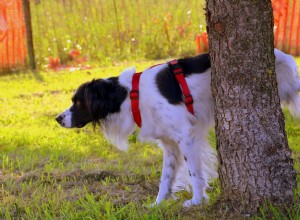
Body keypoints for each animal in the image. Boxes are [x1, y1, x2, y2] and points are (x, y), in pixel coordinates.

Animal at [56, 49, 300, 207]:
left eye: (78, 102)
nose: (58, 118)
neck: (133, 95)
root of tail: (279, 53)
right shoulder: (170, 144)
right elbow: (166, 178)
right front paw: (158, 205)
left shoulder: (186, 137)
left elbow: (194, 173)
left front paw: (197, 201)